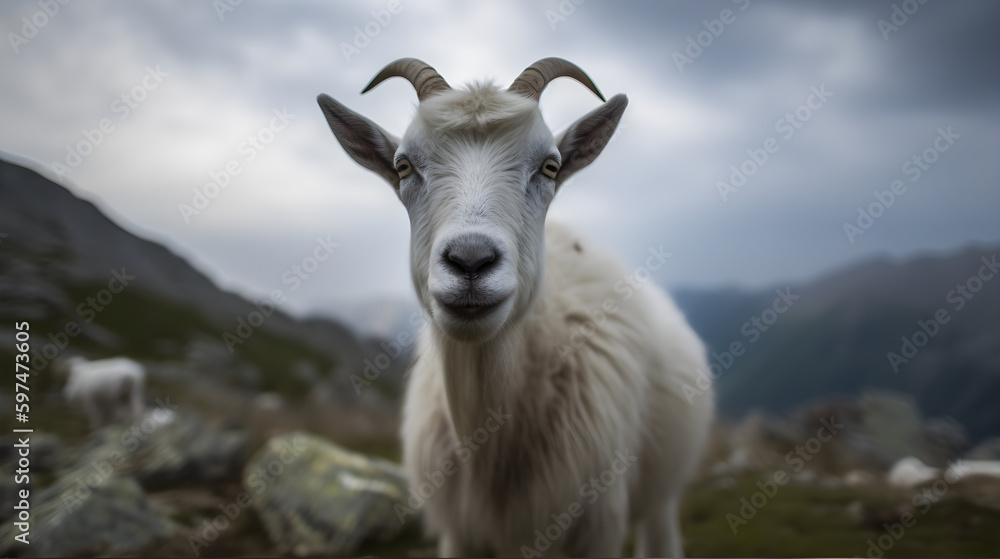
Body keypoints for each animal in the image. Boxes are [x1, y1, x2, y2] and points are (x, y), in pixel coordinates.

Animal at [318, 58, 714, 557]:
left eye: (550, 167)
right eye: (403, 166)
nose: (470, 260)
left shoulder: (595, 529)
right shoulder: (460, 534)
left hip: (663, 488)